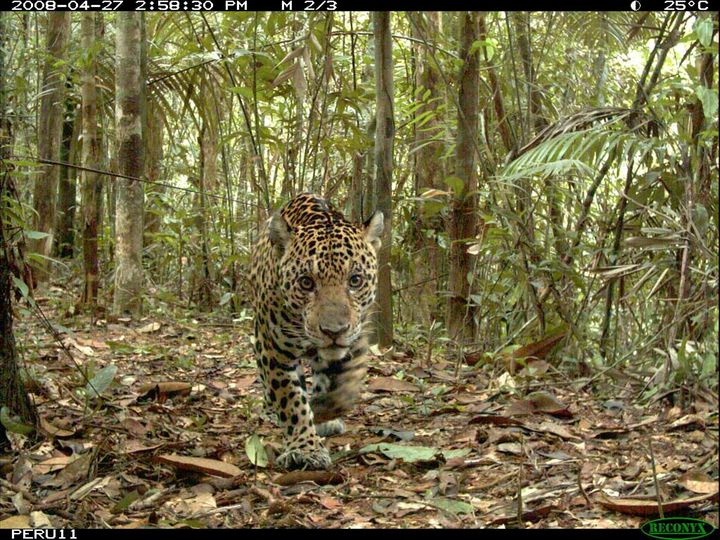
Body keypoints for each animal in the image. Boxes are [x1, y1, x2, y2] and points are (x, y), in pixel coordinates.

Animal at [249, 193, 384, 470]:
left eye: (355, 280)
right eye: (306, 282)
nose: (334, 331)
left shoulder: (357, 341)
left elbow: (345, 385)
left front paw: (323, 410)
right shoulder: (273, 348)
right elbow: (290, 400)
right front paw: (305, 448)